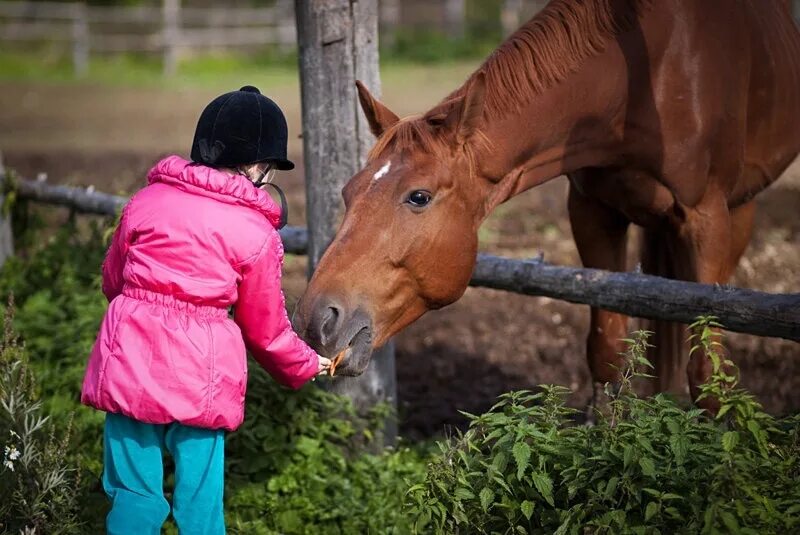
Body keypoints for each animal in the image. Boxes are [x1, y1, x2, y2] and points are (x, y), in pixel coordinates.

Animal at [292, 1, 800, 410]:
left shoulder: (704, 220)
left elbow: (708, 373)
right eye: (348, 192)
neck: (643, 77)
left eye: (419, 196)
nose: (315, 319)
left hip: (736, 215)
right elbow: (607, 353)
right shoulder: (593, 213)